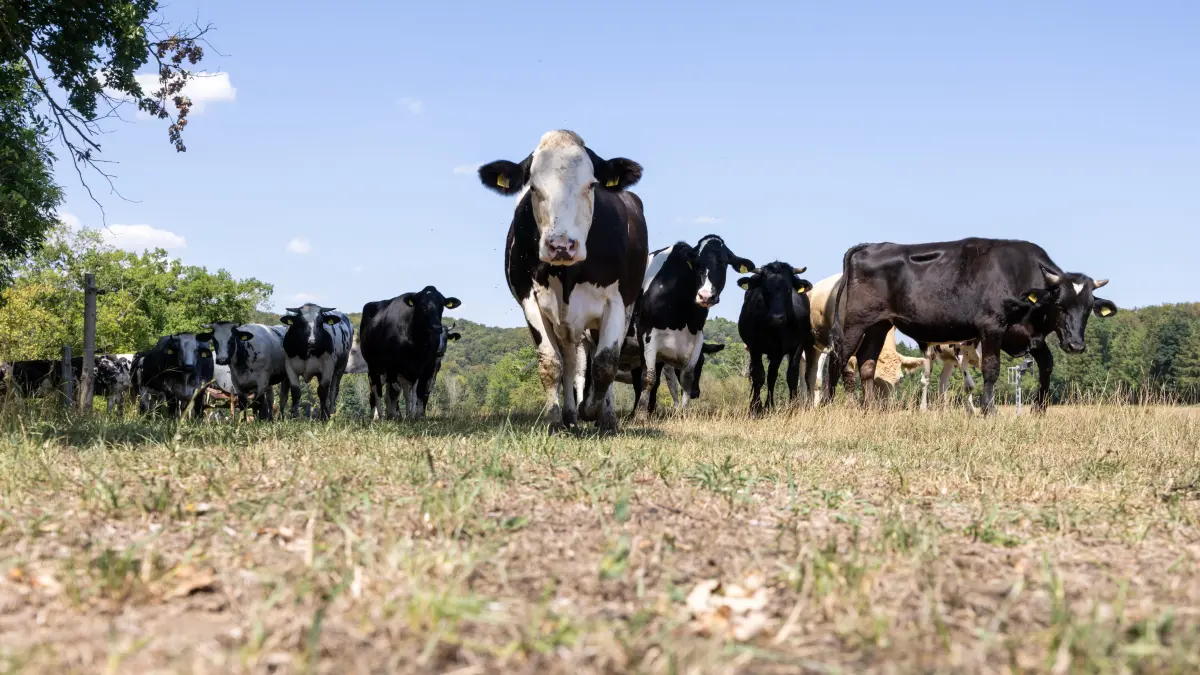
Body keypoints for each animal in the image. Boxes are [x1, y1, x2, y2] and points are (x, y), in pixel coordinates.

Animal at [359, 286, 461, 420]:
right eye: (422, 305)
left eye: (442, 305)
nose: (436, 327)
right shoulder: (393, 367)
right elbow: (395, 392)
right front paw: (394, 414)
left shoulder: (427, 370)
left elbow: (420, 393)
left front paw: (418, 416)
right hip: (373, 367)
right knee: (377, 390)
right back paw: (377, 416)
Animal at [478, 130, 648, 433]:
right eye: (533, 188)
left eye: (591, 185)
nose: (561, 246)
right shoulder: (530, 300)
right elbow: (550, 363)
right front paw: (555, 419)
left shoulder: (617, 302)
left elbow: (605, 364)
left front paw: (593, 411)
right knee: (570, 362)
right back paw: (570, 414)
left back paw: (604, 416)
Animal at [630, 236, 754, 418]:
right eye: (696, 263)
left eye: (723, 263)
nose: (705, 296)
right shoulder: (647, 335)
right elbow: (648, 378)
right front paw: (640, 416)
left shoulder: (696, 339)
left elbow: (686, 378)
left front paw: (683, 414)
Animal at [736, 262, 815, 413]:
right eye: (766, 289)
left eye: (788, 289)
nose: (777, 317)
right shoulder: (755, 348)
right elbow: (759, 376)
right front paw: (756, 407)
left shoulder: (790, 348)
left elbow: (787, 375)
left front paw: (790, 406)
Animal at [826, 238, 1117, 414]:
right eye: (1060, 304)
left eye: (1088, 308)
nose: (1076, 345)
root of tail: (870, 246)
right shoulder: (992, 327)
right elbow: (991, 368)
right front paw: (989, 409)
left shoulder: (1029, 336)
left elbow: (1047, 365)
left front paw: (1040, 408)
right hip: (854, 323)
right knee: (838, 359)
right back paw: (827, 404)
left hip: (880, 324)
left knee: (867, 362)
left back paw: (869, 408)